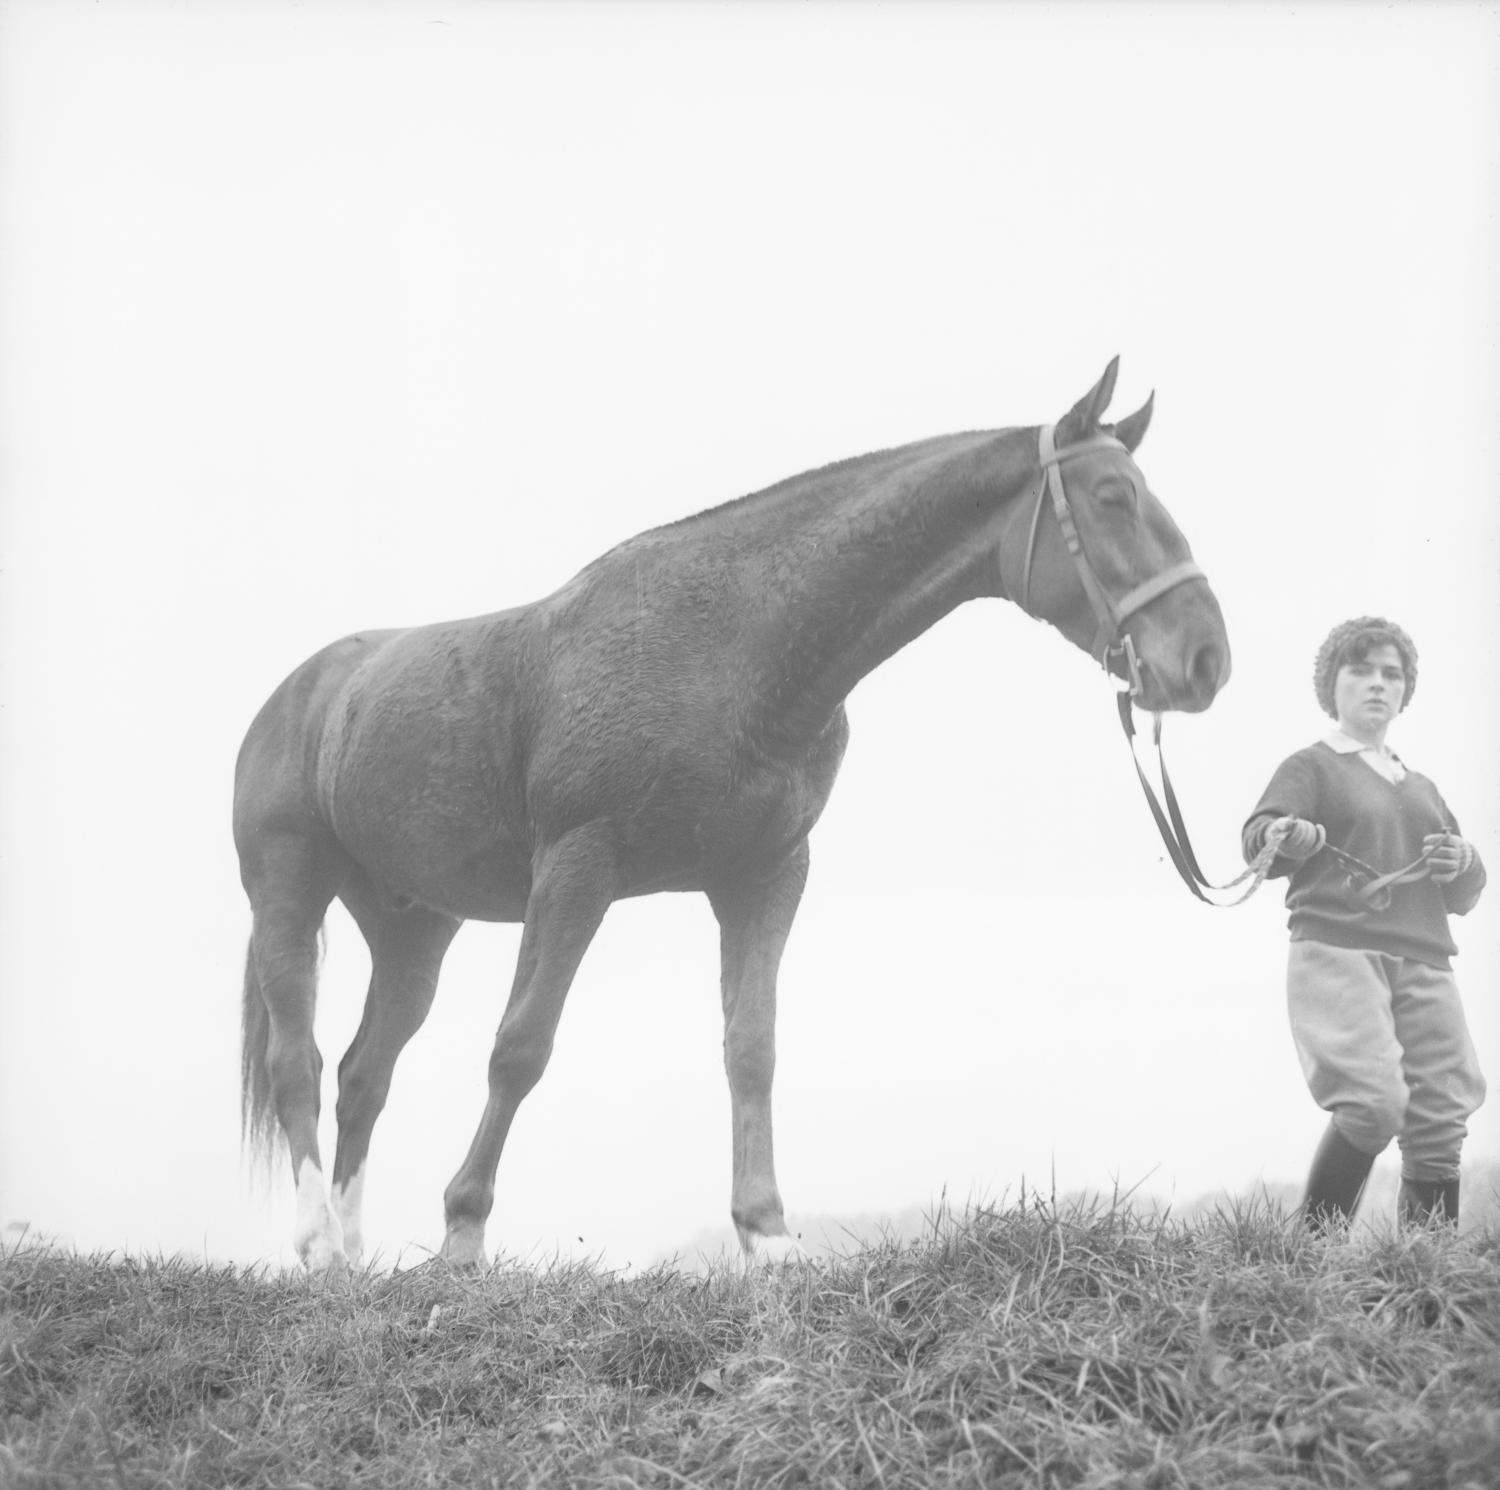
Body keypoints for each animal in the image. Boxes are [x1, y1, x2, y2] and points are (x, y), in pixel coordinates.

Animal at [234, 360, 1230, 1266]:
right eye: (1112, 497)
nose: (1207, 658)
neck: (734, 643)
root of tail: (301, 693)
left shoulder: (764, 876)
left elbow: (751, 1047)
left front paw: (768, 1236)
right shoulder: (576, 867)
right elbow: (521, 1045)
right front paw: (463, 1234)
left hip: (413, 931)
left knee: (364, 1074)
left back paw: (354, 1255)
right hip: (290, 892)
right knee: (300, 1063)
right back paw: (318, 1244)